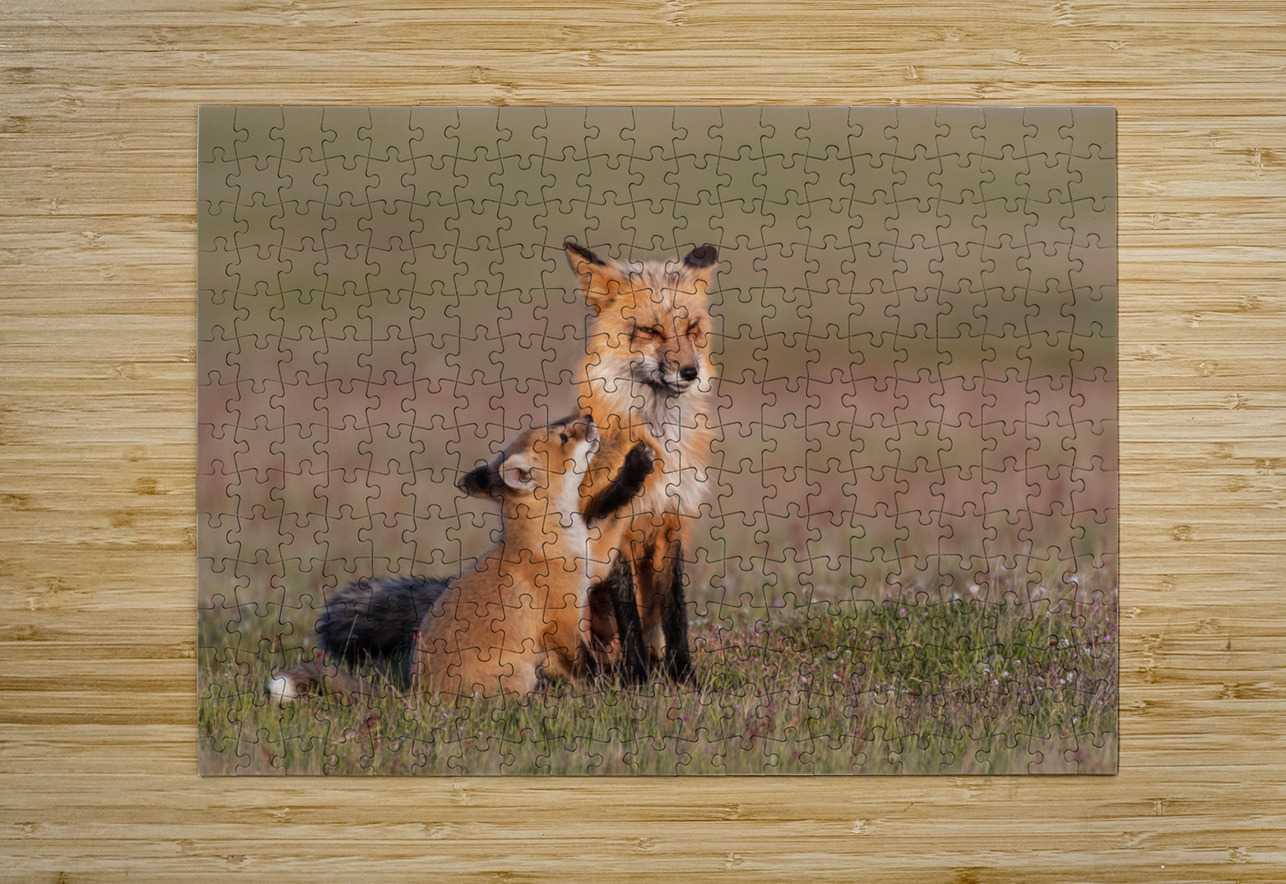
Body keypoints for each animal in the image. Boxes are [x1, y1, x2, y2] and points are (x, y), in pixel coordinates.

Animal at [267, 415, 655, 701]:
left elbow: (616, 516)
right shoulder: (561, 619)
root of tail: (416, 695)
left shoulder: (592, 560)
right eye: (563, 436)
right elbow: (586, 663)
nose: (588, 417)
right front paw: (602, 687)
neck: (549, 537)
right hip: (517, 673)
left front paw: (635, 470)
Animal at [564, 240, 719, 686]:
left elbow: (675, 614)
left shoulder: (671, 523)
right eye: (651, 331)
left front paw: (684, 678)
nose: (691, 371)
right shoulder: (615, 528)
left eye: (692, 329)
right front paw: (637, 681)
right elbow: (628, 612)